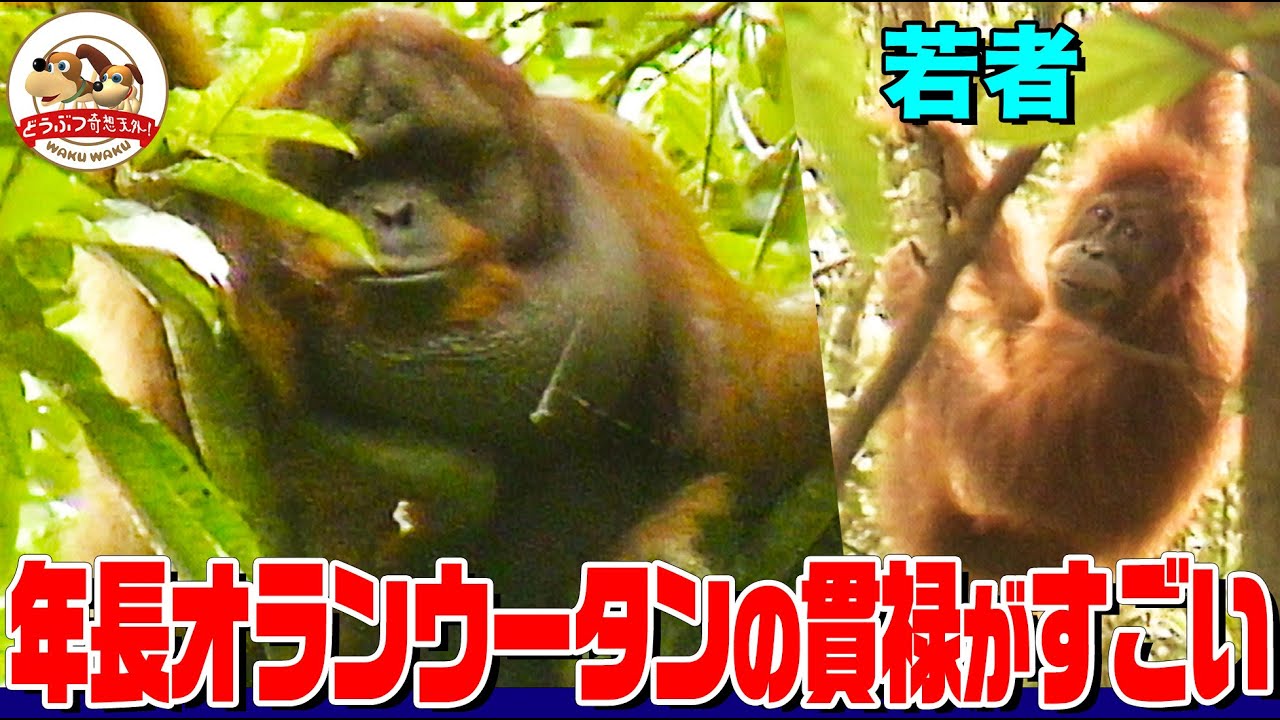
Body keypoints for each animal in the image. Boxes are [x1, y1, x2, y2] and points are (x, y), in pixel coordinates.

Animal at [875, 54, 1248, 579]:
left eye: (1131, 234)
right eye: (1102, 215)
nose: (1093, 250)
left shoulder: (1145, 368)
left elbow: (1016, 461)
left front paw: (915, 299)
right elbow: (1195, 104)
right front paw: (948, 147)